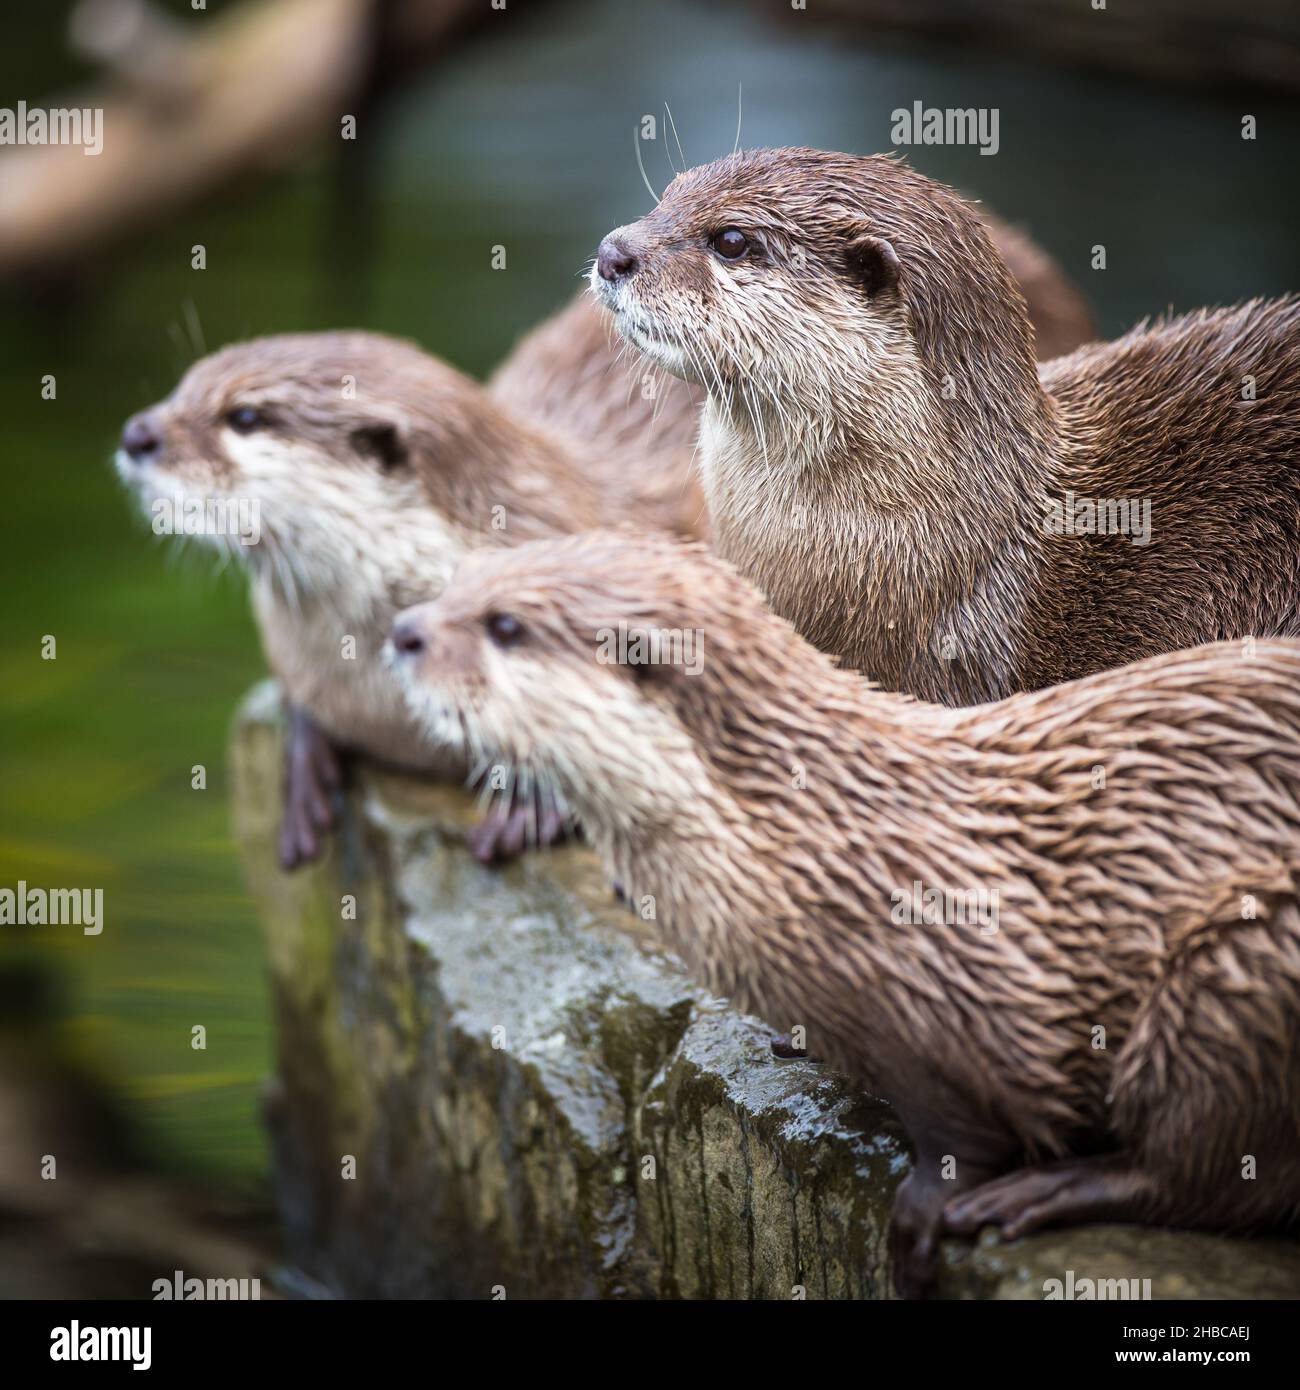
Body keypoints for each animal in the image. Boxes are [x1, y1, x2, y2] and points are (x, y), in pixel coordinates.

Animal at [388, 528, 1300, 1298]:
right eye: (459, 581)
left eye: (505, 625)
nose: (401, 632)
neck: (814, 835)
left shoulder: (977, 987)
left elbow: (972, 1124)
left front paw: (925, 1215)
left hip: (1243, 961)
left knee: (1212, 1172)